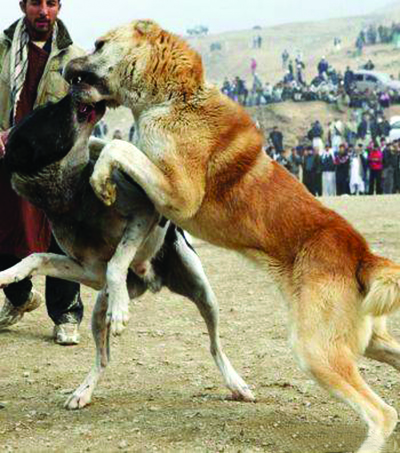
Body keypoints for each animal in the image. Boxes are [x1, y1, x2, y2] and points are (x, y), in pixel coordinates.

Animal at [0, 93, 255, 408]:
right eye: (49, 112)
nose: (74, 89)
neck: (74, 195)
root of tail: (152, 283)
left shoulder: (142, 215)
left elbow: (118, 260)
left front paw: (121, 309)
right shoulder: (90, 271)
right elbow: (38, 257)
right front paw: (9, 273)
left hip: (203, 293)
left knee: (214, 345)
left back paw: (236, 384)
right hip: (99, 311)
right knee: (103, 358)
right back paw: (83, 391)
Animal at [64, 19, 400, 450]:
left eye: (99, 44)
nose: (66, 70)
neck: (175, 96)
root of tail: (363, 254)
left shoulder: (181, 194)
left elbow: (117, 147)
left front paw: (100, 182)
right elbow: (108, 143)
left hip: (316, 350)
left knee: (382, 413)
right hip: (364, 341)